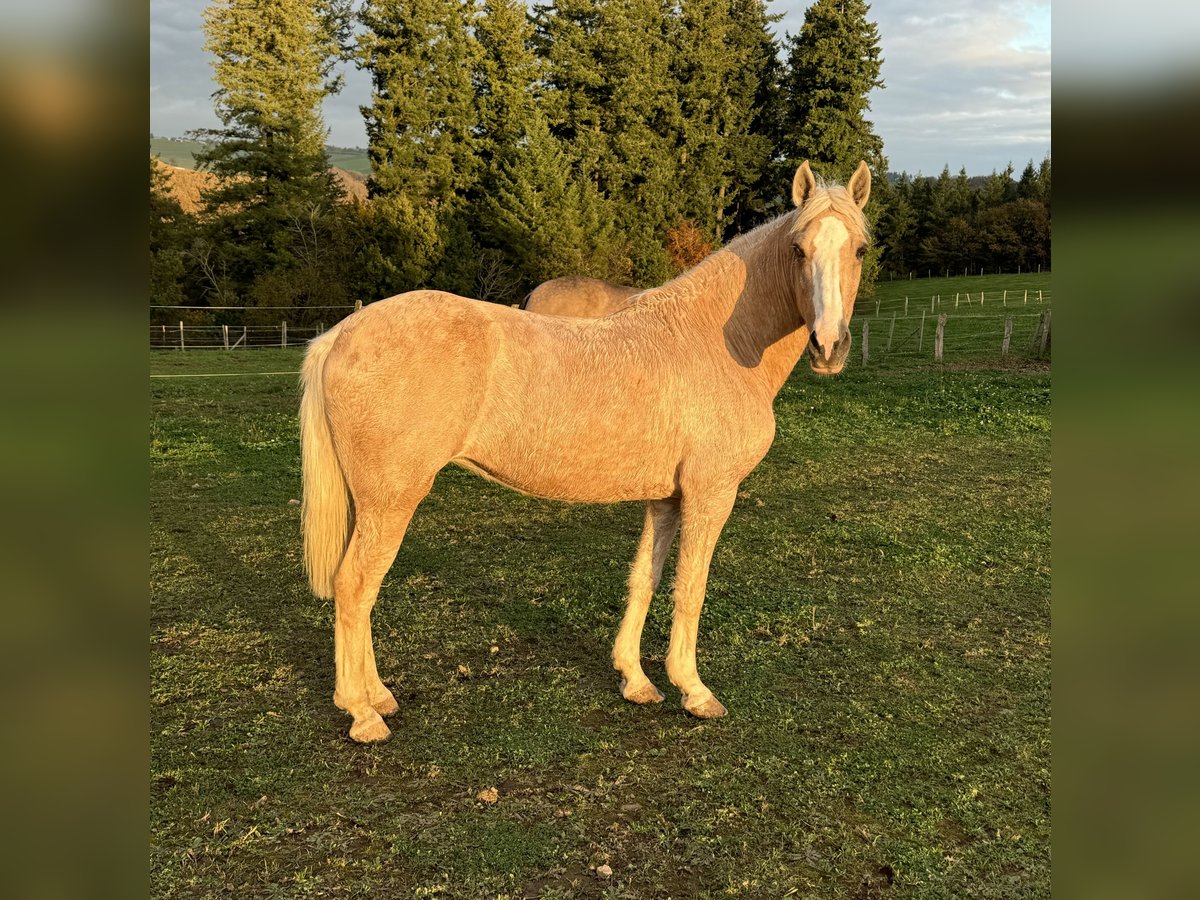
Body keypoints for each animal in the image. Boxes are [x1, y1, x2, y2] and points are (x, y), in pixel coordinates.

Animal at [302, 160, 873, 739]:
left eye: (860, 249)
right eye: (798, 249)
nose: (828, 347)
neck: (717, 340)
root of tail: (341, 333)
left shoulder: (666, 498)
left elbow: (645, 578)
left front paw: (636, 680)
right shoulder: (710, 493)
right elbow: (690, 588)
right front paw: (693, 690)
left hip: (371, 503)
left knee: (360, 589)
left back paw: (379, 696)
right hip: (391, 501)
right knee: (355, 586)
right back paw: (363, 714)